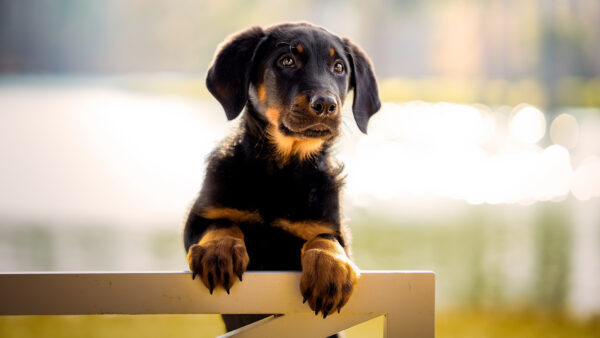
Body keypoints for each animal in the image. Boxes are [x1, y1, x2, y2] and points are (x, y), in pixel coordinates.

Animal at [183, 21, 380, 332]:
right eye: (287, 61)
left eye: (338, 67)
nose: (326, 105)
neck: (282, 171)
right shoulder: (199, 216)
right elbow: (220, 223)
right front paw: (218, 252)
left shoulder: (333, 228)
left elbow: (325, 240)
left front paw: (331, 270)